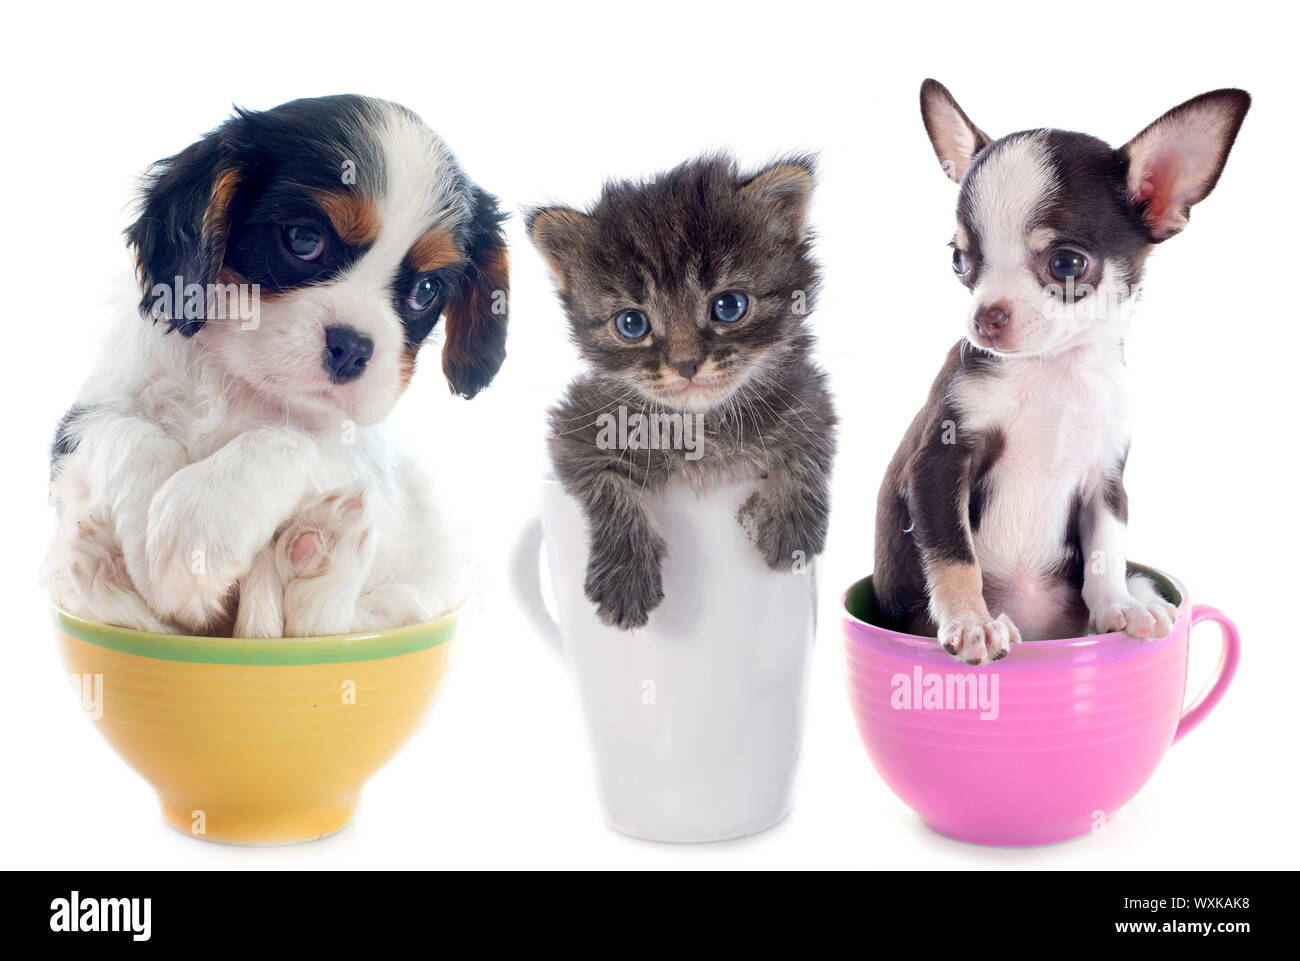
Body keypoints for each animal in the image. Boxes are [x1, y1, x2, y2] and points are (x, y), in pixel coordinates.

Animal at [525, 154, 837, 626]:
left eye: (729, 306)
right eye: (631, 323)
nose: (686, 364)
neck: (701, 427)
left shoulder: (813, 396)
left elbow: (810, 443)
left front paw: (790, 523)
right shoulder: (574, 427)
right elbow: (606, 484)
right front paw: (625, 575)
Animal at [873, 80, 1248, 660]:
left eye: (1067, 264)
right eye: (959, 261)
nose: (984, 317)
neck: (1056, 370)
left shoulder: (1104, 482)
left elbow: (1106, 553)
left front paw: (1118, 605)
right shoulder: (938, 464)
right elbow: (956, 554)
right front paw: (973, 621)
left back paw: (1144, 601)